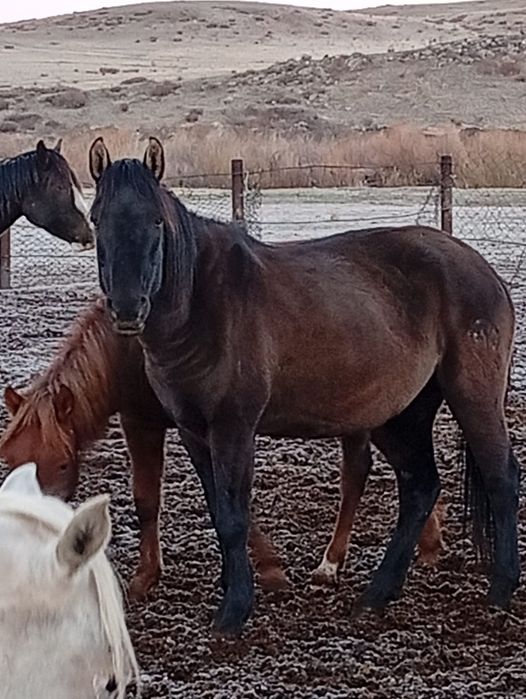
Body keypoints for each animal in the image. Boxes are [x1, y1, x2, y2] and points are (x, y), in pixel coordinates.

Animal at [0, 299, 445, 600]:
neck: (131, 351)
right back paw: (426, 544)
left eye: (61, 464)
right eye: (9, 462)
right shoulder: (141, 422)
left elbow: (207, 497)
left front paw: (268, 570)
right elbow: (151, 498)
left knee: (363, 476)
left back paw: (335, 563)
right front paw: (151, 574)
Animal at [88, 135, 519, 636]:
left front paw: (234, 610)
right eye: (96, 218)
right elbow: (217, 509)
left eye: (156, 219)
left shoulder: (234, 428)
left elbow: (234, 516)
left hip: (473, 396)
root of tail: (481, 269)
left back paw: (500, 591)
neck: (202, 302)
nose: (127, 308)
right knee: (419, 487)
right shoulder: (195, 433)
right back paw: (376, 595)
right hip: (400, 415)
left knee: (500, 477)